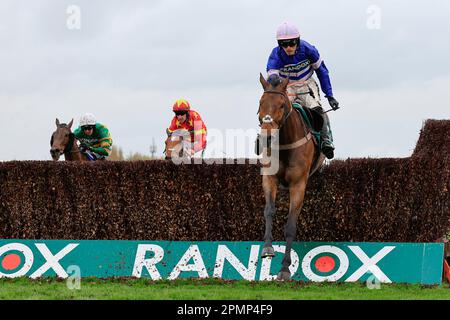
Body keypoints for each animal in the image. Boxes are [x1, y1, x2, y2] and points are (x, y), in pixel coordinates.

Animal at [258, 73, 326, 280]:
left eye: (281, 105)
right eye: (261, 102)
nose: (266, 137)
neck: (284, 145)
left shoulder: (298, 185)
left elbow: (290, 226)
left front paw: (285, 269)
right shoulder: (269, 178)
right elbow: (269, 211)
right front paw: (267, 249)